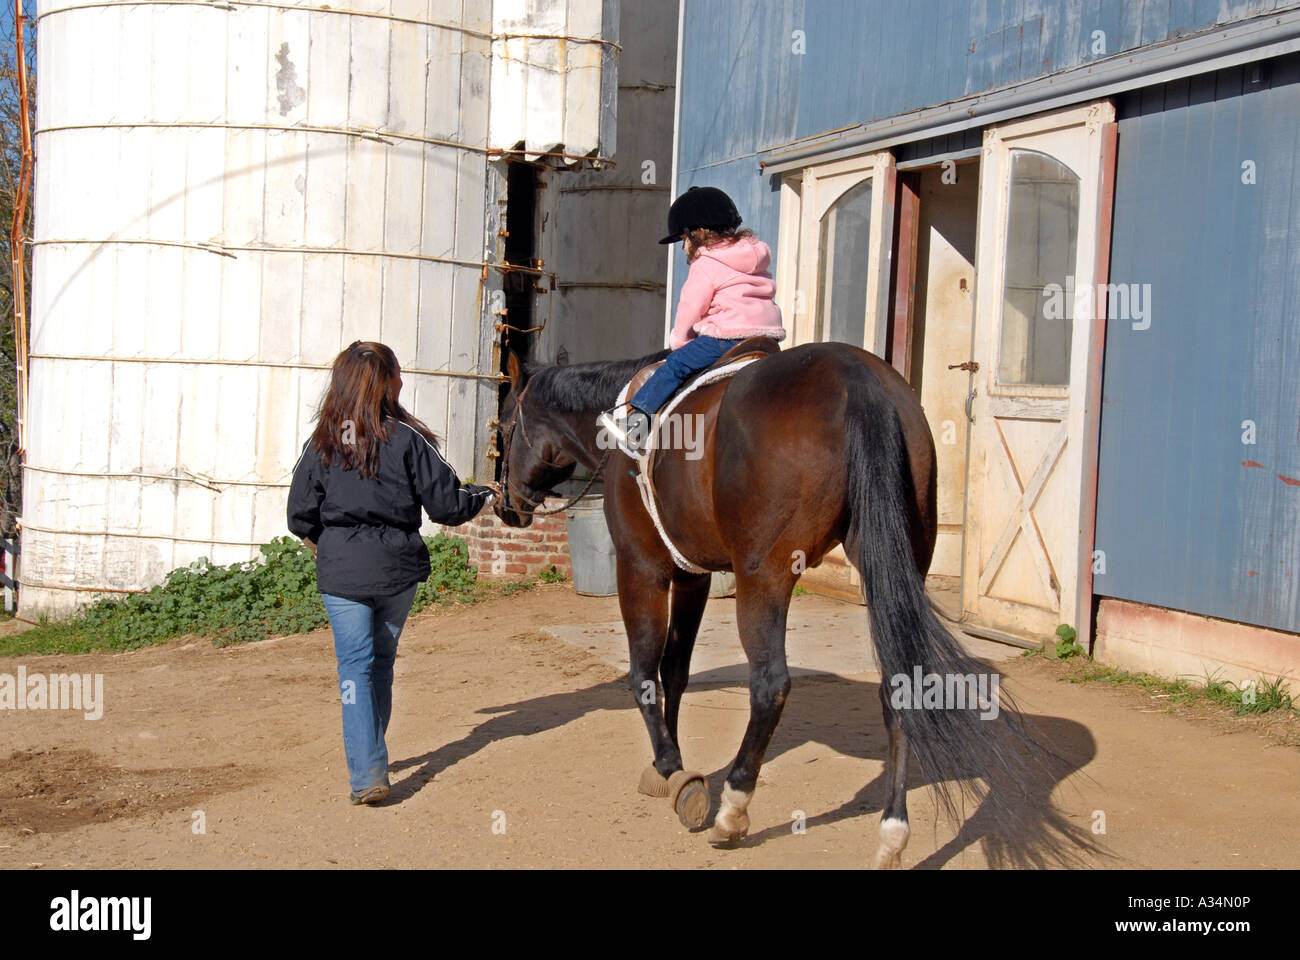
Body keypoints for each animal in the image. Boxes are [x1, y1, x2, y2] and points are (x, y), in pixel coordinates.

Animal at [494, 340, 1058, 867]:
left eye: (501, 427)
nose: (505, 506)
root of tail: (857, 378)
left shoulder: (642, 567)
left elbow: (644, 675)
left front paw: (676, 775)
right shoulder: (693, 574)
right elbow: (675, 669)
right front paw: (667, 764)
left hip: (762, 577)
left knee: (769, 684)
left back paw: (733, 810)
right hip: (895, 566)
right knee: (898, 684)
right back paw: (891, 836)